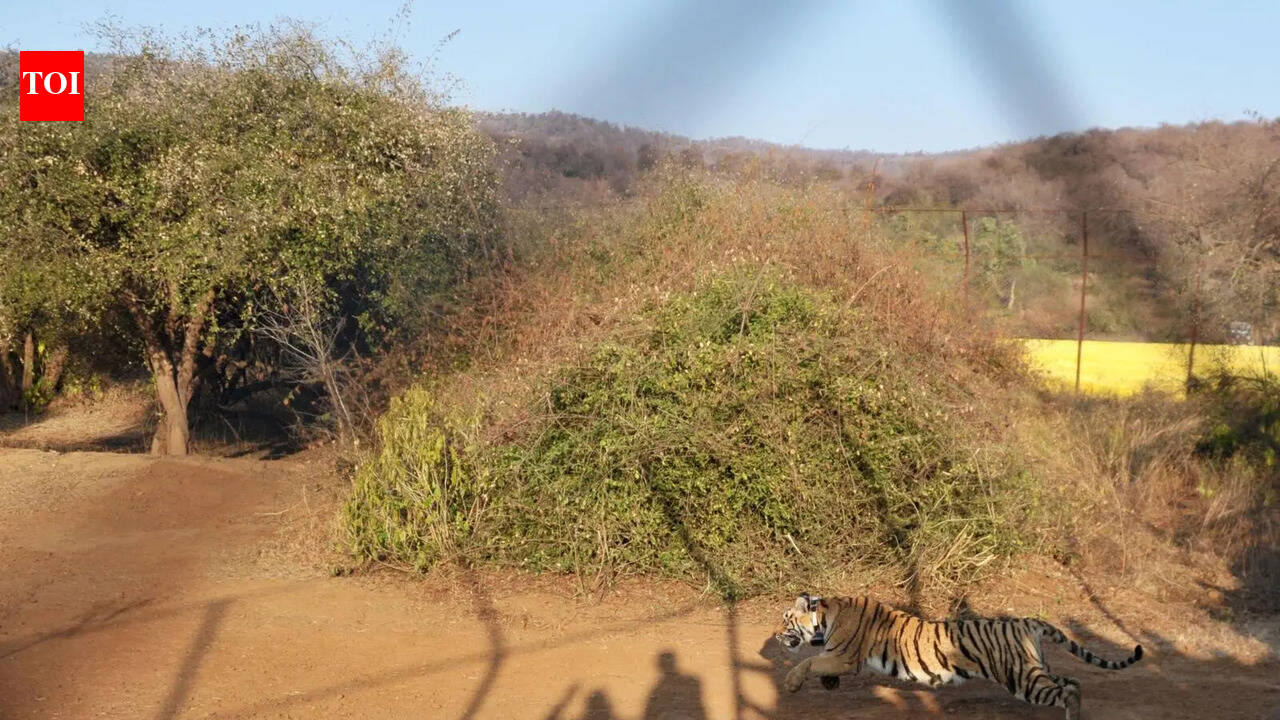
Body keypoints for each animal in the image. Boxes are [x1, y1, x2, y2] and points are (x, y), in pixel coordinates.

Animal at [774, 593, 1143, 720]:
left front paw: (791, 683)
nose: (775, 634)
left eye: (785, 619)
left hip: (1022, 678)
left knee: (1067, 690)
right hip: (1036, 668)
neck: (825, 615)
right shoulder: (840, 657)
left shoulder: (845, 655)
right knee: (1074, 681)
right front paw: (828, 684)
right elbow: (817, 664)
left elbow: (808, 661)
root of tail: (1027, 621)